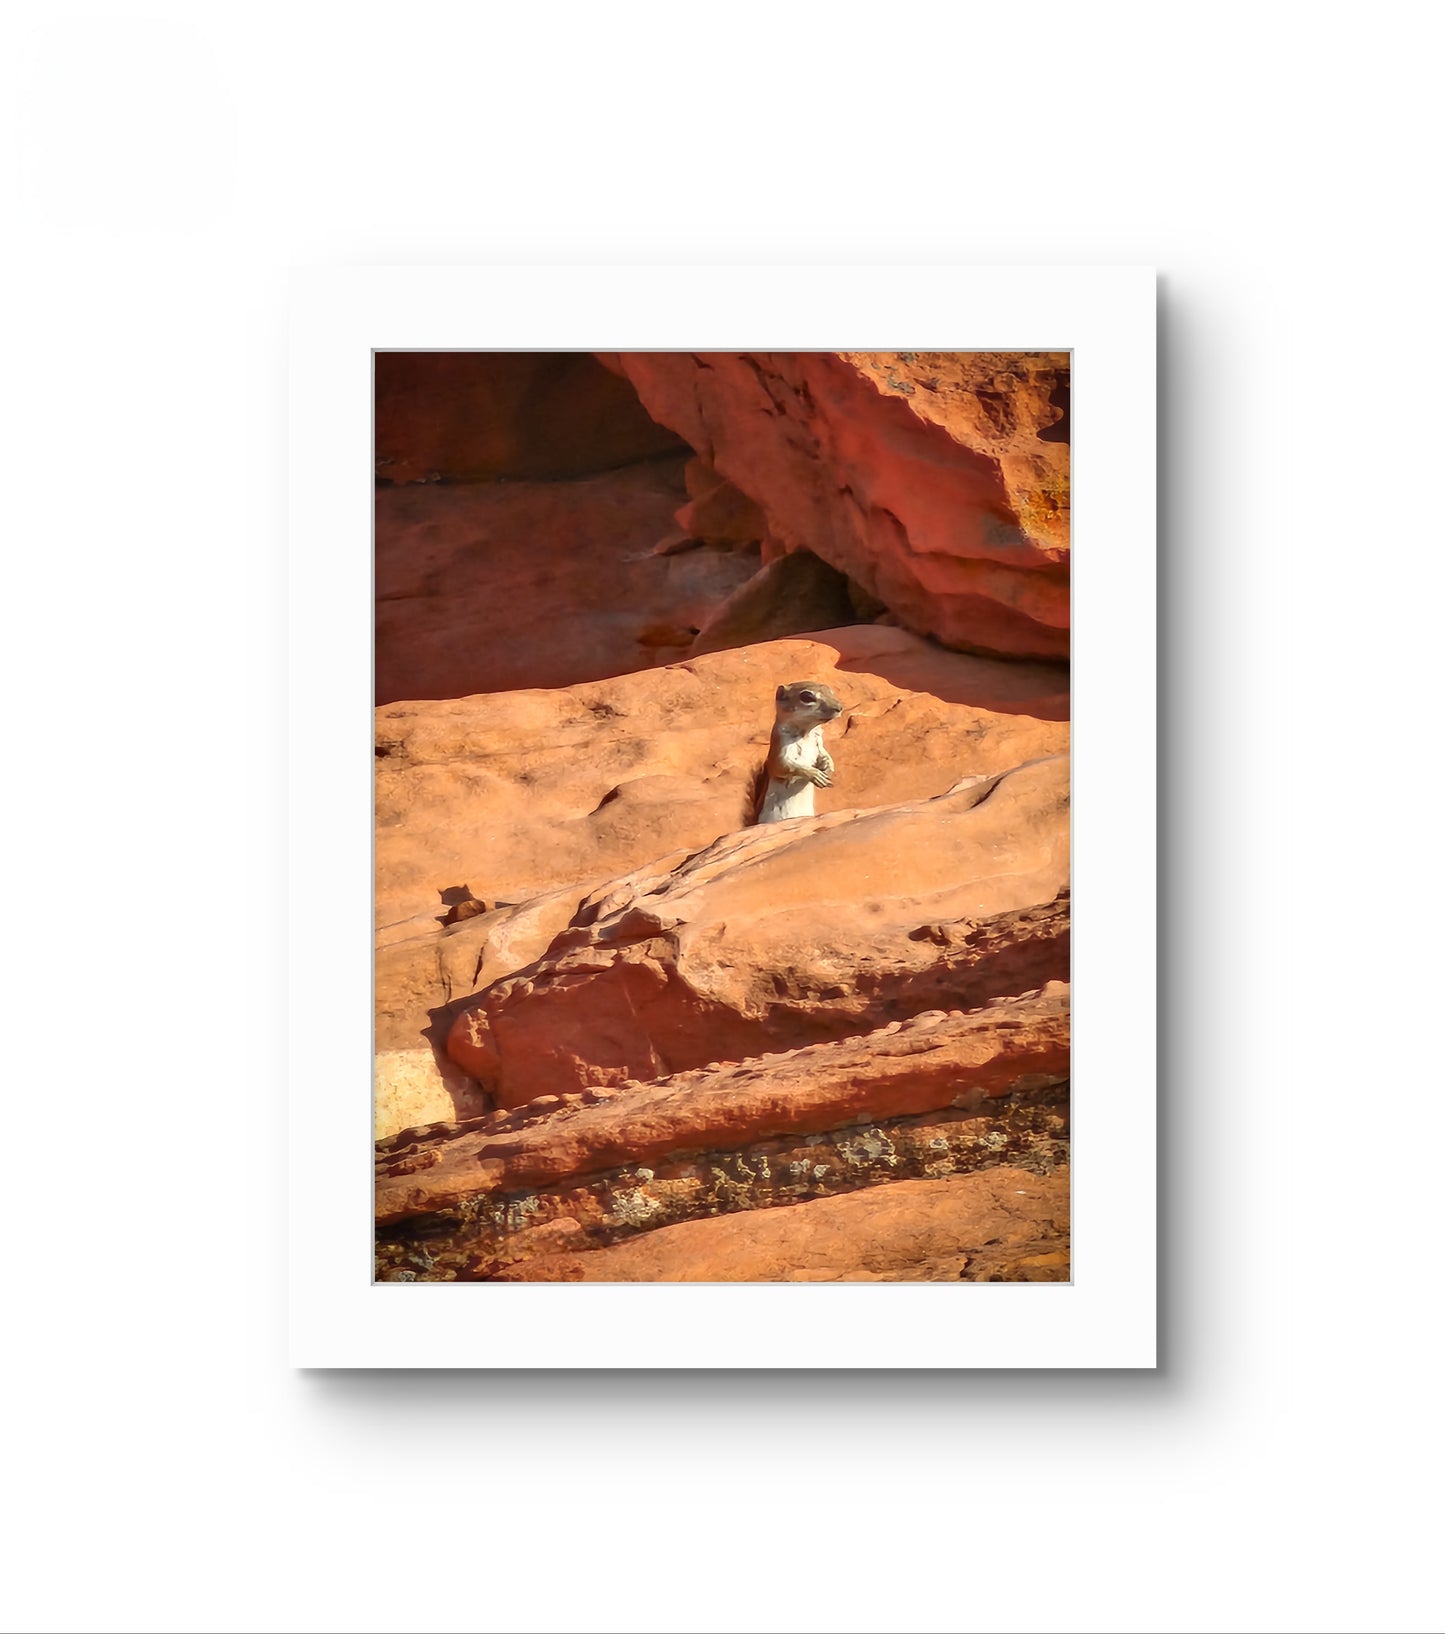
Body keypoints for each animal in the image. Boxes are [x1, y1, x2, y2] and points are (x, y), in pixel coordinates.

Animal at [752, 680, 843, 824]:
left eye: (830, 691)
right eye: (806, 697)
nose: (839, 707)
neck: (806, 732)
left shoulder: (819, 743)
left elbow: (825, 754)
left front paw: (828, 766)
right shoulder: (779, 749)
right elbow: (783, 766)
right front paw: (815, 774)